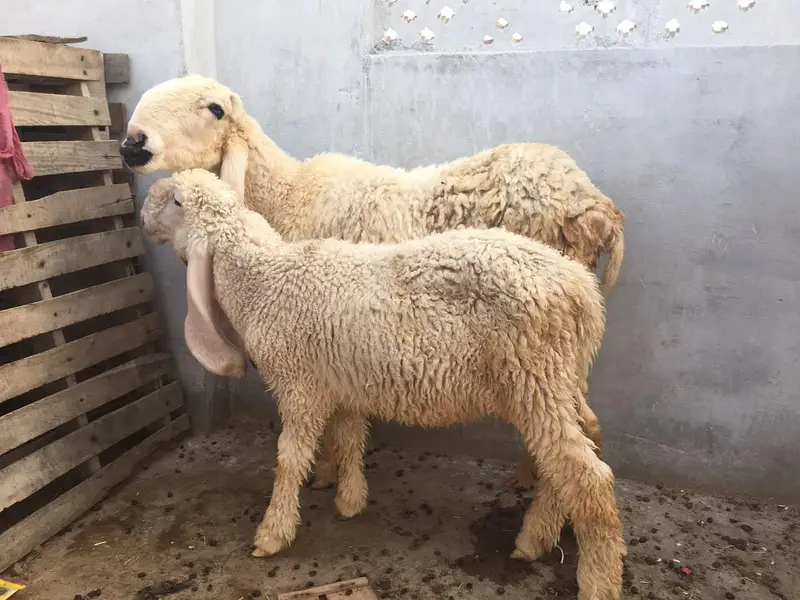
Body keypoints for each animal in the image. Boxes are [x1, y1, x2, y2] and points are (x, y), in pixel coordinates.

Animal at [144, 169, 626, 600]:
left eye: (175, 200)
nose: (144, 215)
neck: (263, 279)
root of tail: (582, 290)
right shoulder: (342, 383)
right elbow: (350, 437)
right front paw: (350, 500)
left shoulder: (299, 384)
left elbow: (290, 458)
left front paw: (273, 531)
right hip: (560, 381)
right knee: (581, 448)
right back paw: (537, 538)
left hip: (534, 379)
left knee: (589, 479)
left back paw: (597, 582)